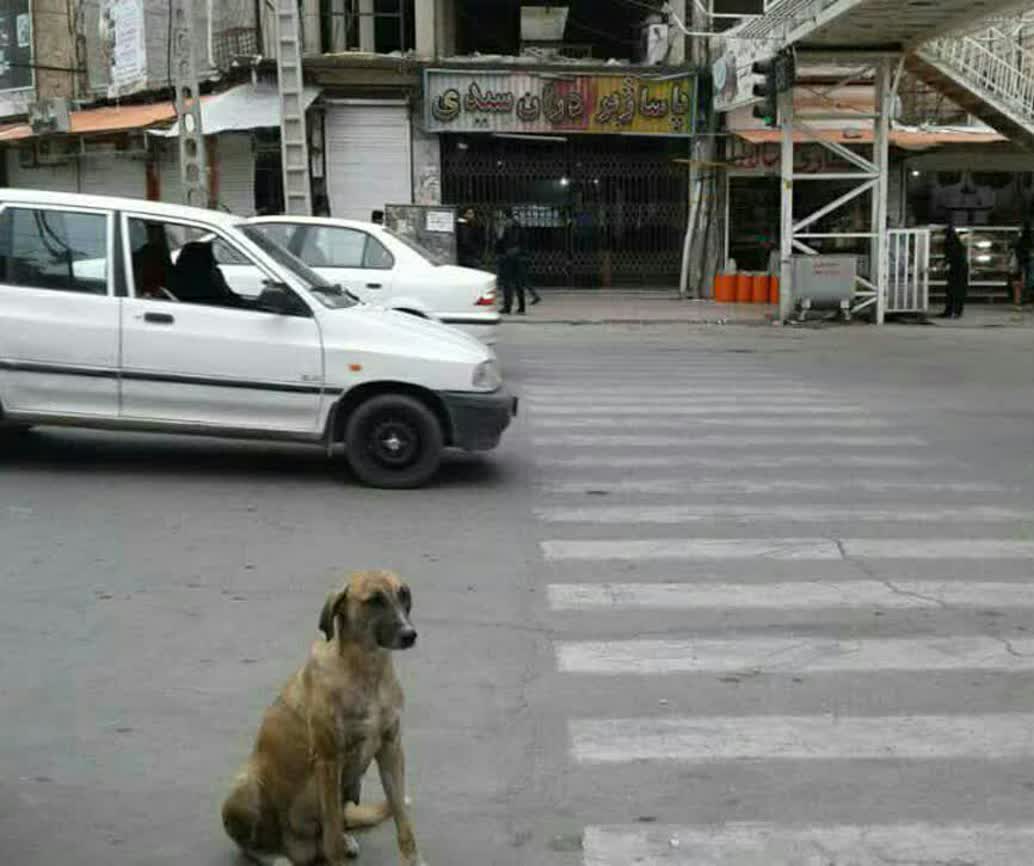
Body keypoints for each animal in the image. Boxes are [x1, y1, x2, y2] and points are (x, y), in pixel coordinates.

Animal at [222, 574, 423, 863]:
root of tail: (295, 846)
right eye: (374, 600)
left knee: (337, 826)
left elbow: (403, 822)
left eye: (404, 595)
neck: (367, 670)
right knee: (252, 847)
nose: (410, 634)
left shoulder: (391, 749)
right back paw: (276, 858)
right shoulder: (329, 759)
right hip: (245, 788)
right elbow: (333, 838)